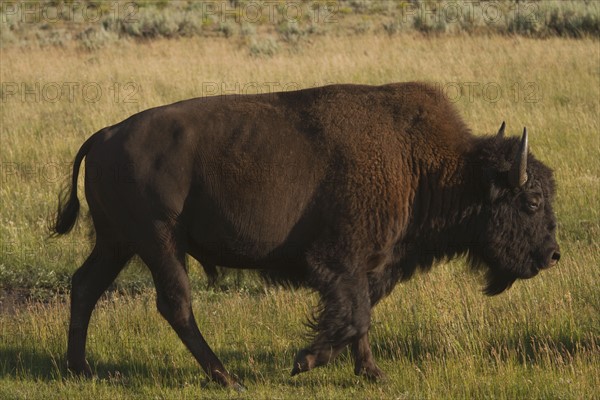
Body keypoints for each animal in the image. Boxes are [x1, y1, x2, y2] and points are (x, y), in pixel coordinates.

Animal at [51, 82, 556, 390]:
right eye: (531, 201)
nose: (551, 255)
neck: (424, 166)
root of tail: (104, 135)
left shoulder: (369, 266)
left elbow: (362, 317)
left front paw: (372, 373)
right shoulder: (339, 260)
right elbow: (354, 316)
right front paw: (304, 362)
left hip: (117, 243)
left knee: (86, 286)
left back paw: (81, 369)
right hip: (159, 241)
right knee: (175, 303)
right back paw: (227, 378)